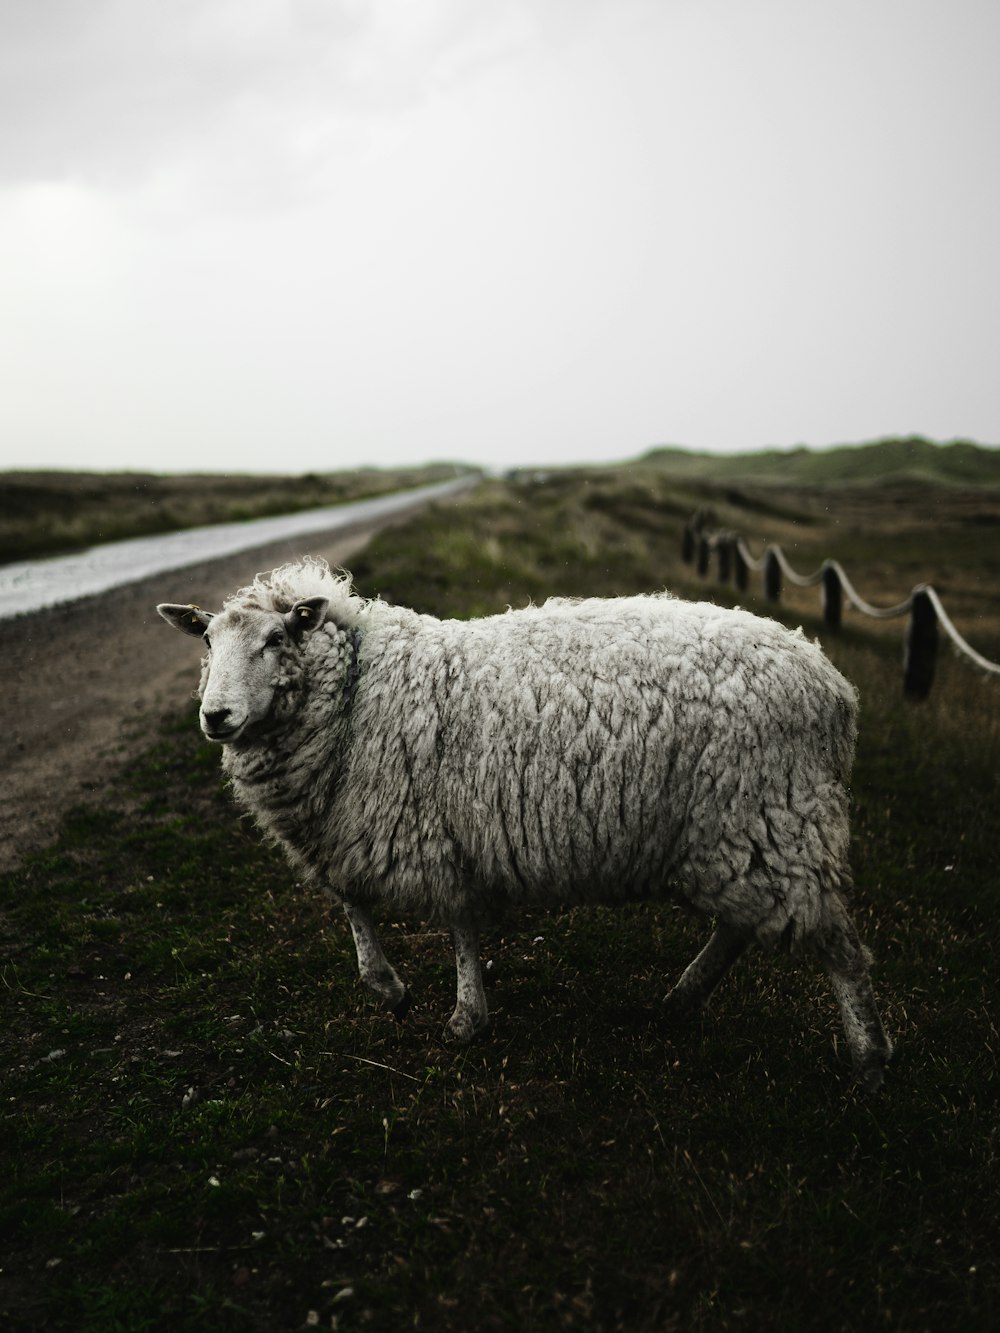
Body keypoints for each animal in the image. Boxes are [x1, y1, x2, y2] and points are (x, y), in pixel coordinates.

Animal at [160, 557, 896, 1087]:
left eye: (276, 637)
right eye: (206, 639)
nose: (215, 716)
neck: (355, 694)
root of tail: (833, 684)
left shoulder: (425, 828)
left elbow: (456, 925)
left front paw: (463, 1018)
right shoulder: (355, 824)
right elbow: (352, 903)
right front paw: (391, 989)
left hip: (774, 816)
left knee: (837, 945)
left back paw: (868, 1058)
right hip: (742, 830)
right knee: (742, 925)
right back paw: (680, 999)